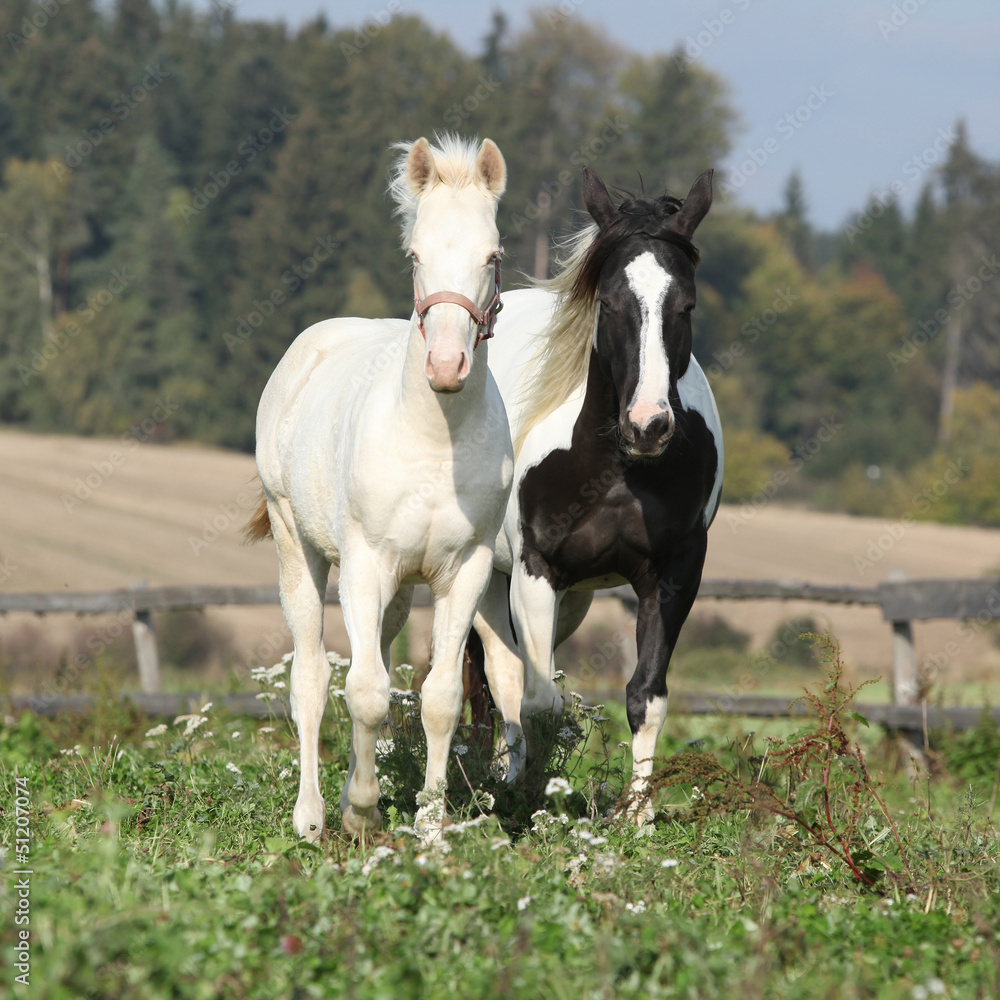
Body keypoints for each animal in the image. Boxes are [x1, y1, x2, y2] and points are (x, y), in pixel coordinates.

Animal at [247, 135, 519, 841]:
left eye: (493, 256)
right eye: (415, 255)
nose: (446, 366)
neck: (433, 441)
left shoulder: (464, 570)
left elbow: (439, 698)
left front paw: (429, 825)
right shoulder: (365, 564)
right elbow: (364, 692)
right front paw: (363, 812)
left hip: (400, 585)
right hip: (298, 546)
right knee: (313, 675)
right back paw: (313, 816)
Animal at [472, 166, 724, 822]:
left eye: (686, 304)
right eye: (608, 303)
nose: (647, 425)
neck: (615, 471)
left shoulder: (674, 572)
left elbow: (646, 695)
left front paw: (635, 815)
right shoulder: (536, 570)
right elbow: (538, 700)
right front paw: (533, 801)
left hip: (568, 599)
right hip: (487, 579)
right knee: (490, 679)